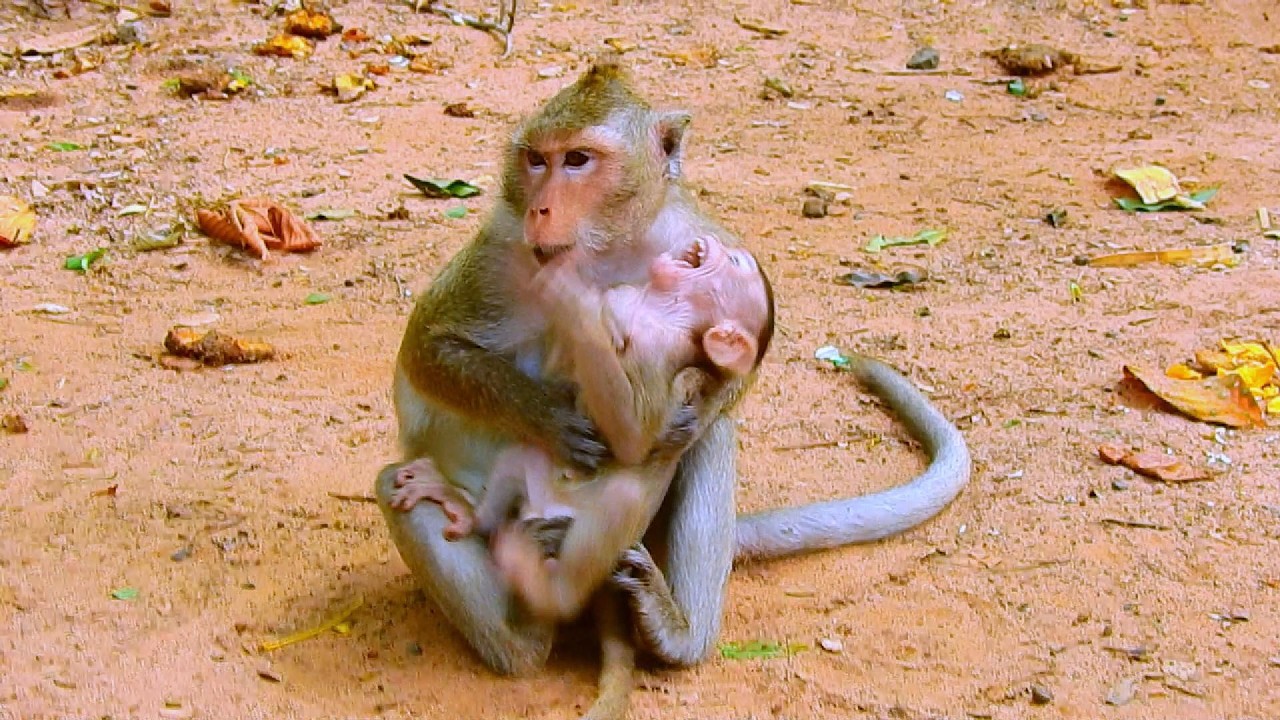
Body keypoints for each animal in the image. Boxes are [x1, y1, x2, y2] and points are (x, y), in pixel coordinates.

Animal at [374, 59, 971, 719]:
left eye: (577, 160)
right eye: (535, 159)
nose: (541, 210)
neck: (609, 249)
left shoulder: (689, 235)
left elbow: (713, 389)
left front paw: (680, 410)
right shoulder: (502, 249)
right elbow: (429, 350)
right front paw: (552, 418)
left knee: (702, 444)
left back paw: (674, 631)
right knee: (406, 488)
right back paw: (518, 625)